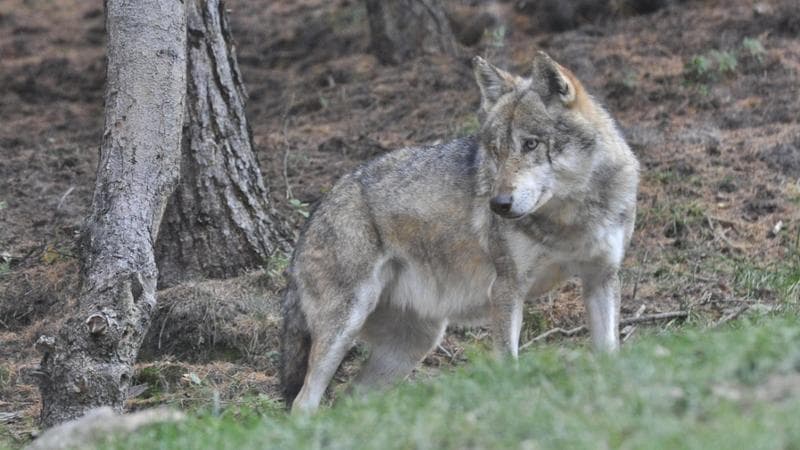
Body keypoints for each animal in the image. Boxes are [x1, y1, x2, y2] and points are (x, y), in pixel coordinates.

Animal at [281, 52, 640, 412]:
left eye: (530, 144)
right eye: (496, 150)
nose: (499, 204)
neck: (569, 219)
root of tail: (314, 214)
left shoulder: (601, 278)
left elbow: (610, 354)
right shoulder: (506, 289)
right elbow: (509, 363)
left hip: (414, 344)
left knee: (348, 401)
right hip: (346, 327)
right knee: (303, 403)